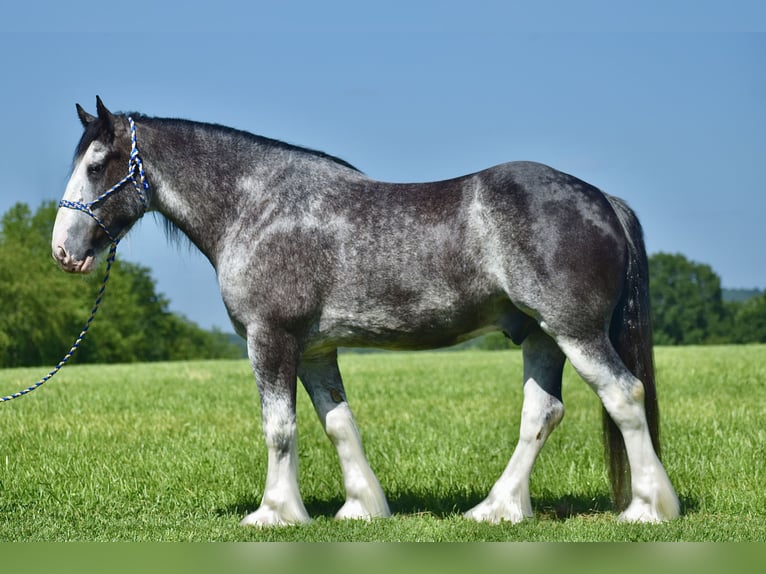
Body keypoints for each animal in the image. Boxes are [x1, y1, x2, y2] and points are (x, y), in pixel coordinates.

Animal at [51, 98, 680, 528]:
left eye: (98, 164)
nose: (63, 251)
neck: (257, 206)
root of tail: (602, 200)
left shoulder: (270, 339)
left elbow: (279, 427)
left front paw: (274, 513)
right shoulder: (315, 350)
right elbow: (337, 423)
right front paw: (361, 507)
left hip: (576, 333)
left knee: (624, 395)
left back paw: (649, 508)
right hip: (542, 336)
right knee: (542, 414)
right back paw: (496, 508)